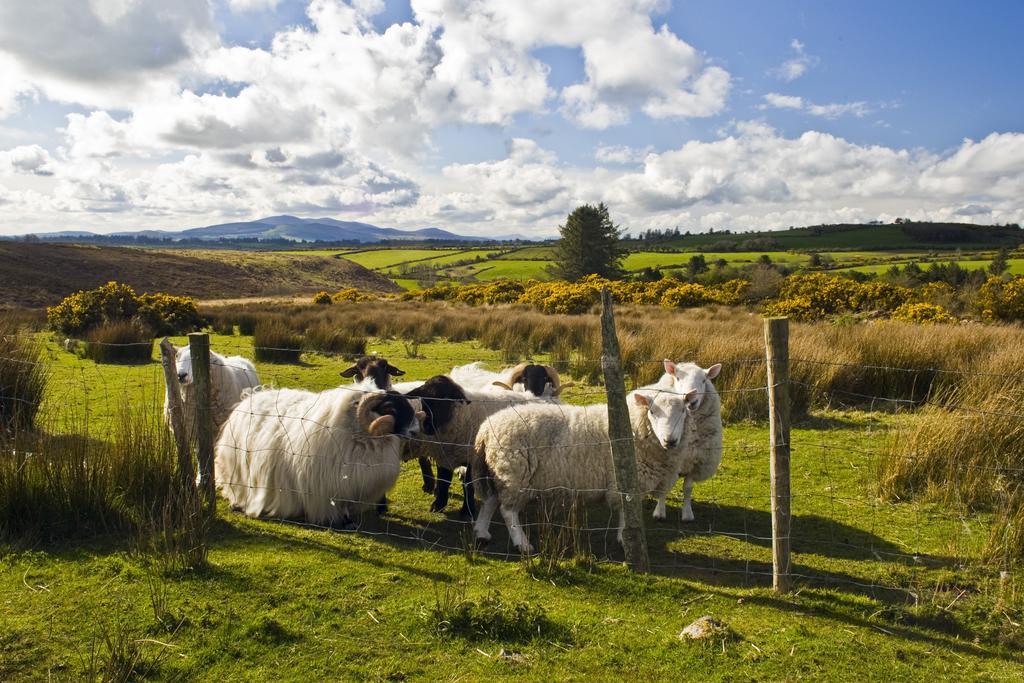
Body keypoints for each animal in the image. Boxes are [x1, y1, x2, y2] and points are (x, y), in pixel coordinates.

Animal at [216, 385, 423, 528]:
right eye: (391, 410)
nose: (415, 431)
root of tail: (249, 397)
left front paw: (349, 521)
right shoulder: (330, 485)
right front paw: (343, 522)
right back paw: (238, 503)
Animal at [471, 385, 696, 557]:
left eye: (683, 411)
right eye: (652, 412)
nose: (670, 440)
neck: (634, 429)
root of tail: (485, 430)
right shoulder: (623, 482)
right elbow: (624, 512)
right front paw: (625, 538)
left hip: (497, 472)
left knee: (490, 501)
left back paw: (481, 532)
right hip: (515, 473)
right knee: (508, 511)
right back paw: (522, 544)